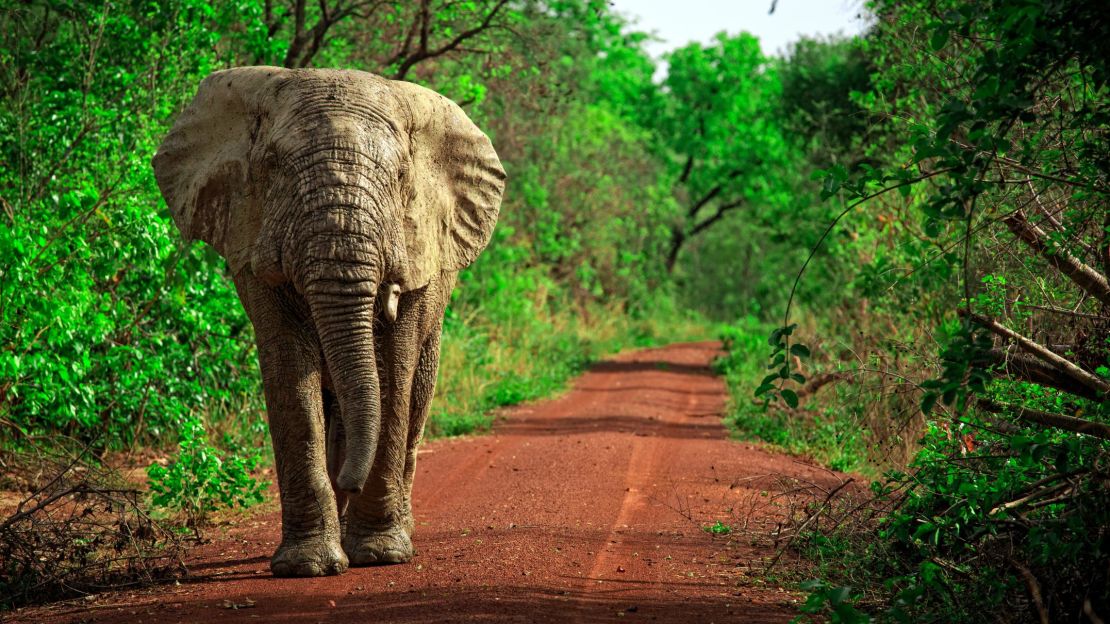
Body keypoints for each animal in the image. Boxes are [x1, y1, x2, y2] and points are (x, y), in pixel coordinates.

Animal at [153, 66, 508, 572]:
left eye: (401, 176)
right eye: (273, 166)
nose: (349, 481)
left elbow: (393, 373)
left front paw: (380, 555)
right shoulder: (249, 237)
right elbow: (290, 375)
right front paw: (307, 566)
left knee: (415, 394)